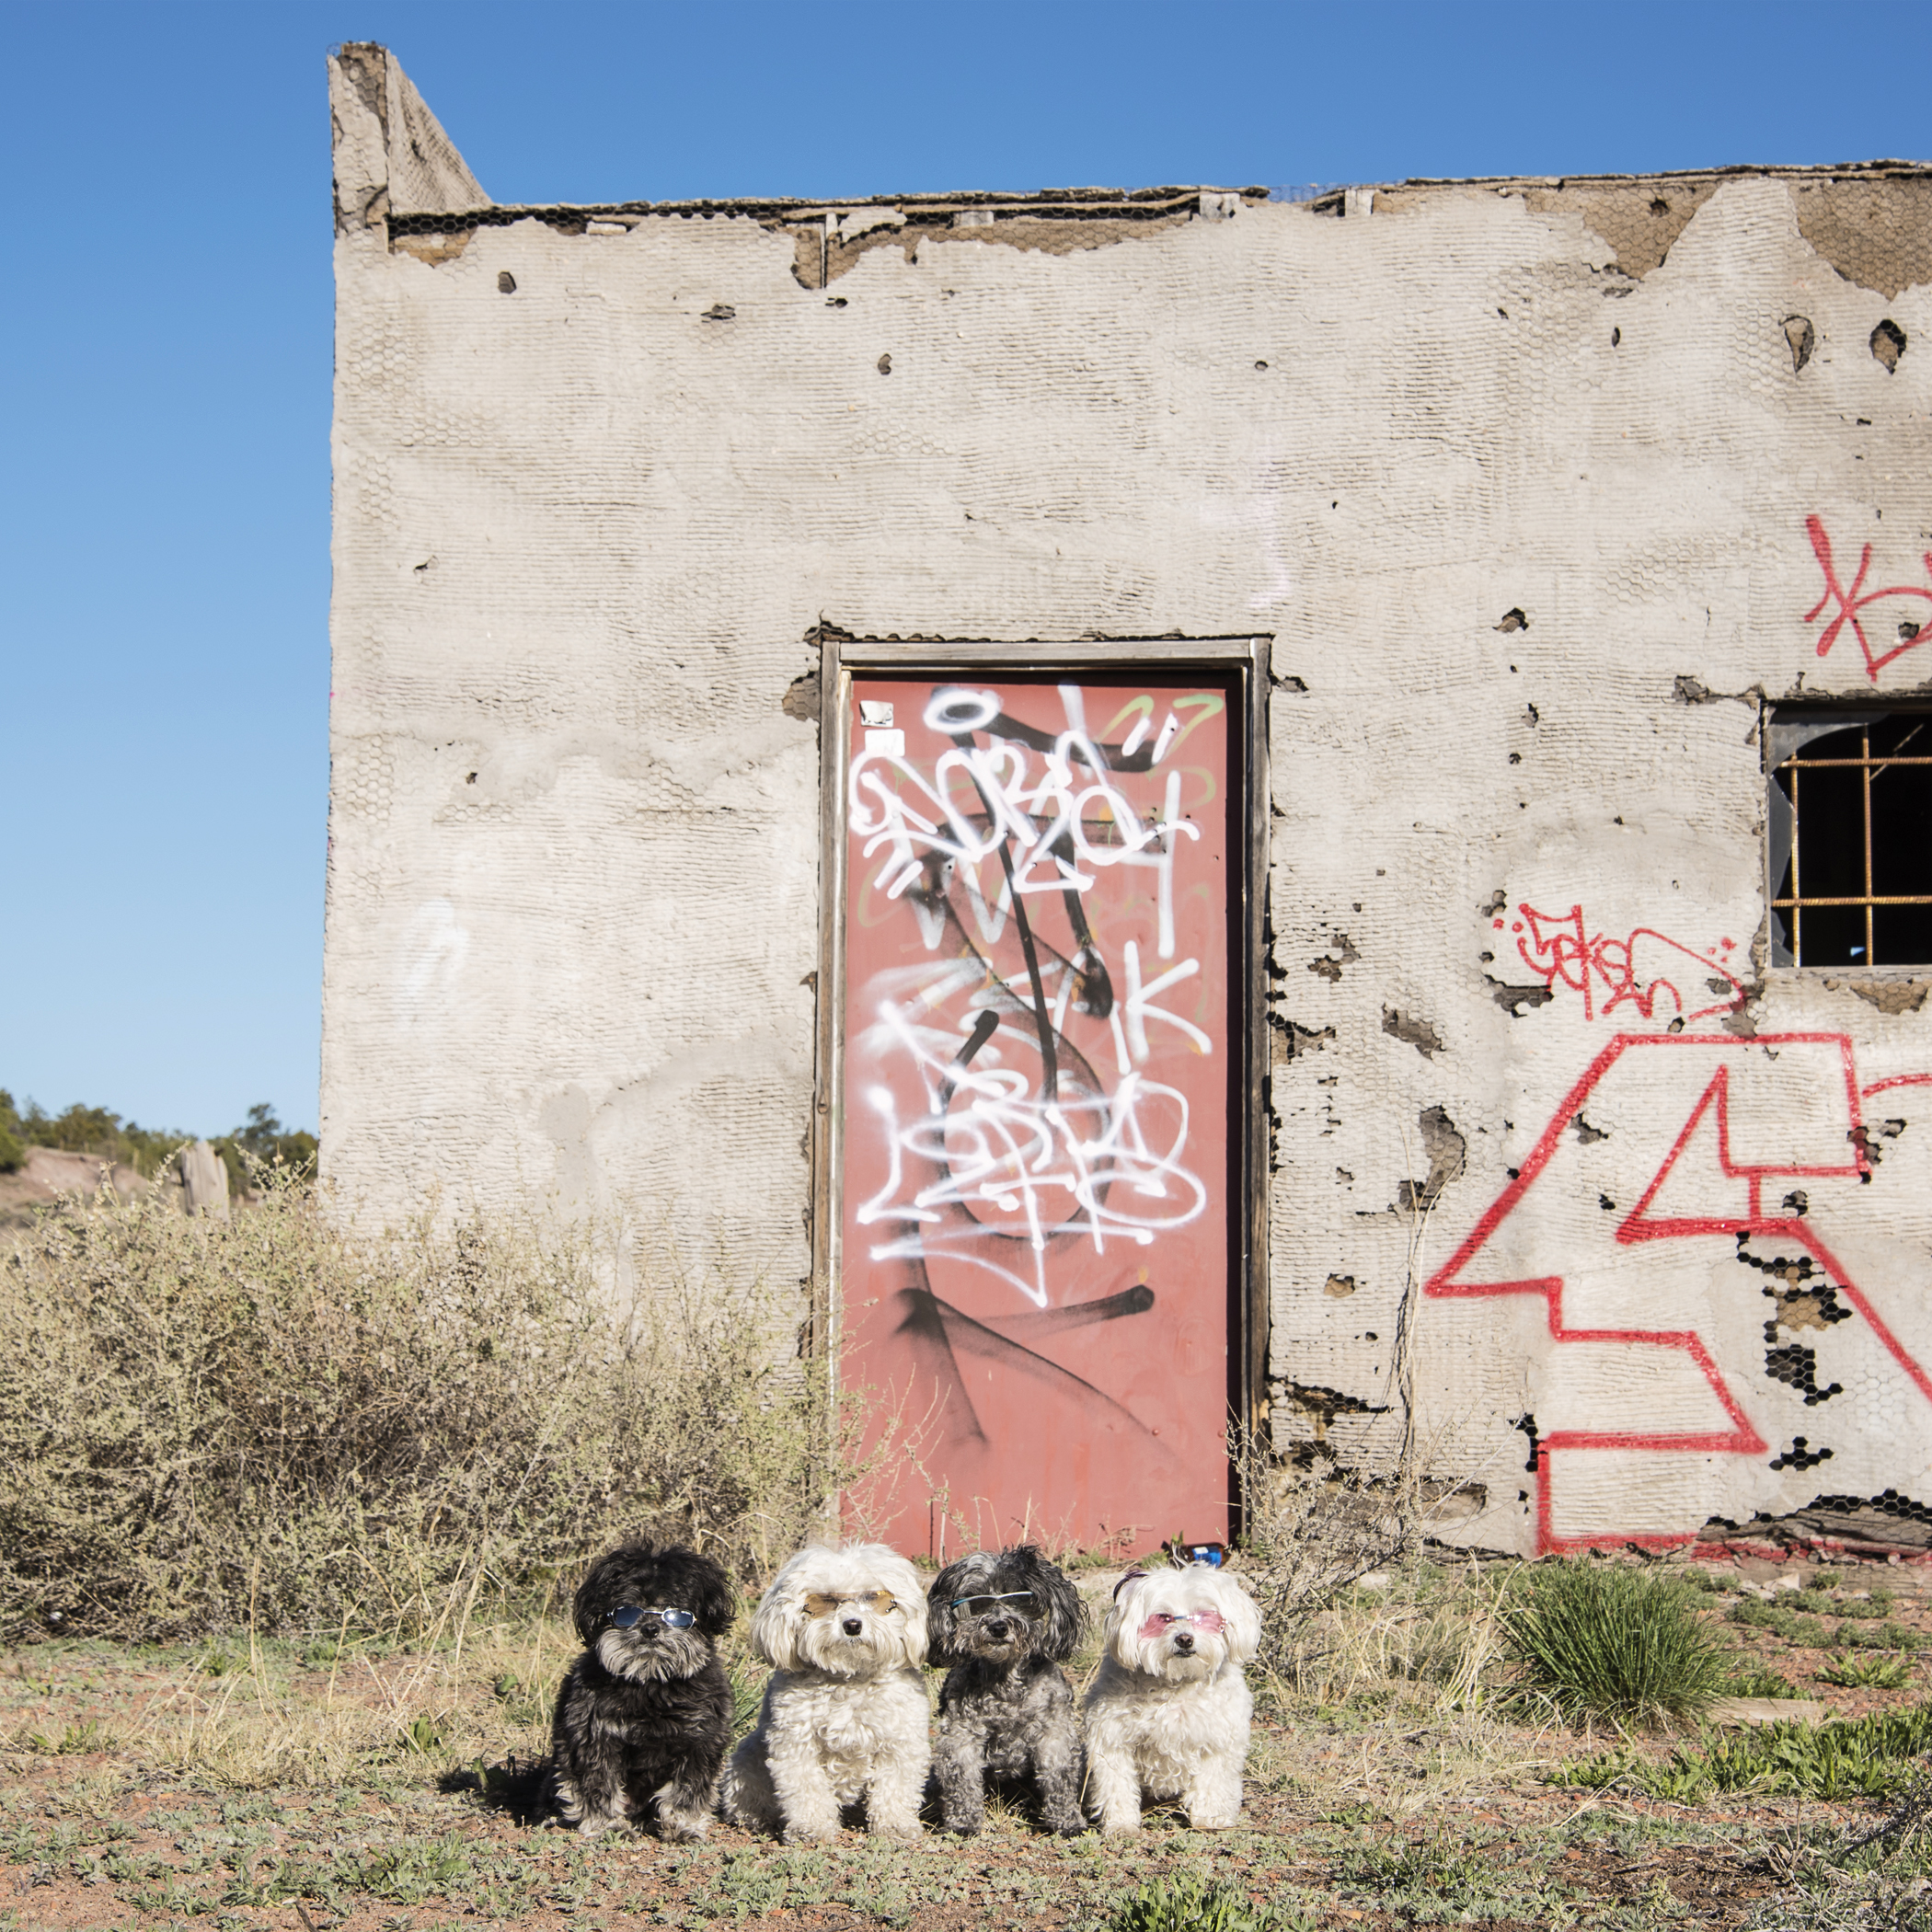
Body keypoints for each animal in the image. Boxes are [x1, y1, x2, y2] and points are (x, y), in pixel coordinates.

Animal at [548, 1537, 733, 1839]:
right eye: (627, 1609)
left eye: (674, 1610)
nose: (649, 1628)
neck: (650, 1681)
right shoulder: (593, 1737)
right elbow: (599, 1785)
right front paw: (607, 1825)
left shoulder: (700, 1739)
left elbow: (688, 1787)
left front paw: (683, 1824)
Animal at [726, 1537, 935, 1839]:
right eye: (823, 1601)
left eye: (874, 1599)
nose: (852, 1624)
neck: (849, 1679)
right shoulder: (795, 1742)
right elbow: (805, 1786)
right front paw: (811, 1826)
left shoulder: (901, 1741)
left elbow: (895, 1786)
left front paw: (896, 1824)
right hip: (747, 1757)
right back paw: (760, 1817)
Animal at [926, 1545, 1097, 1831]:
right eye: (976, 1599)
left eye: (1020, 1597)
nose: (998, 1626)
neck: (1005, 1682)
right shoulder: (961, 1732)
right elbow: (961, 1777)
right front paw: (964, 1821)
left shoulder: (1054, 1730)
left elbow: (1059, 1775)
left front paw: (1066, 1820)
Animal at [1082, 1560, 1259, 1831]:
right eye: (1162, 1618)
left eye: (1203, 1616)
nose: (1184, 1639)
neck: (1176, 1682)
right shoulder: (1112, 1739)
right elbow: (1117, 1784)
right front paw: (1121, 1824)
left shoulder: (1219, 1740)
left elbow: (1213, 1781)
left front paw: (1211, 1817)